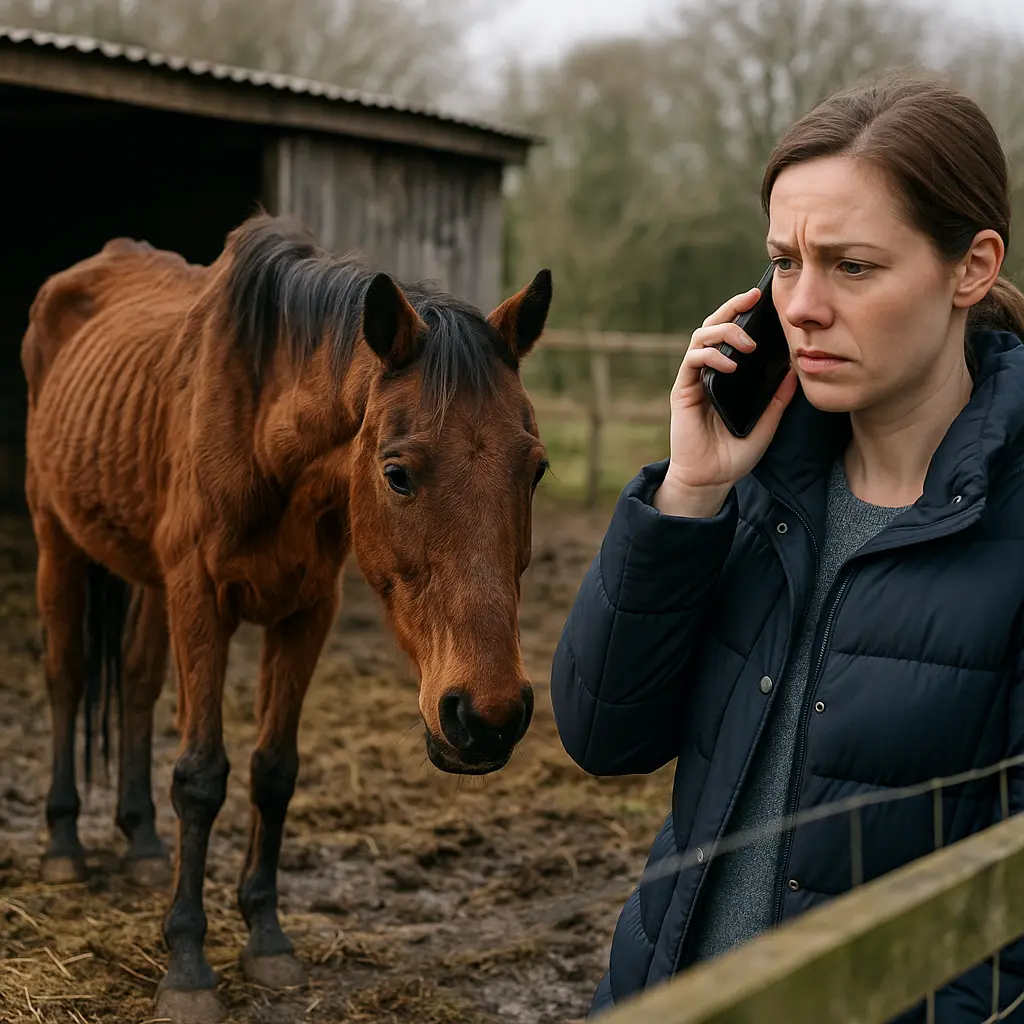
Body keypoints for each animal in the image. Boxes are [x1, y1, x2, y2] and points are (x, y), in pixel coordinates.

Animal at [21, 213, 552, 1024]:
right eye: (396, 473)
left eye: (536, 470)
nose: (486, 718)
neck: (264, 432)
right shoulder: (200, 601)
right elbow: (201, 776)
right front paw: (187, 964)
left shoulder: (307, 610)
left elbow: (274, 772)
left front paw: (266, 938)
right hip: (57, 539)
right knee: (67, 679)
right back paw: (63, 847)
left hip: (144, 572)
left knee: (137, 684)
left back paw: (142, 845)